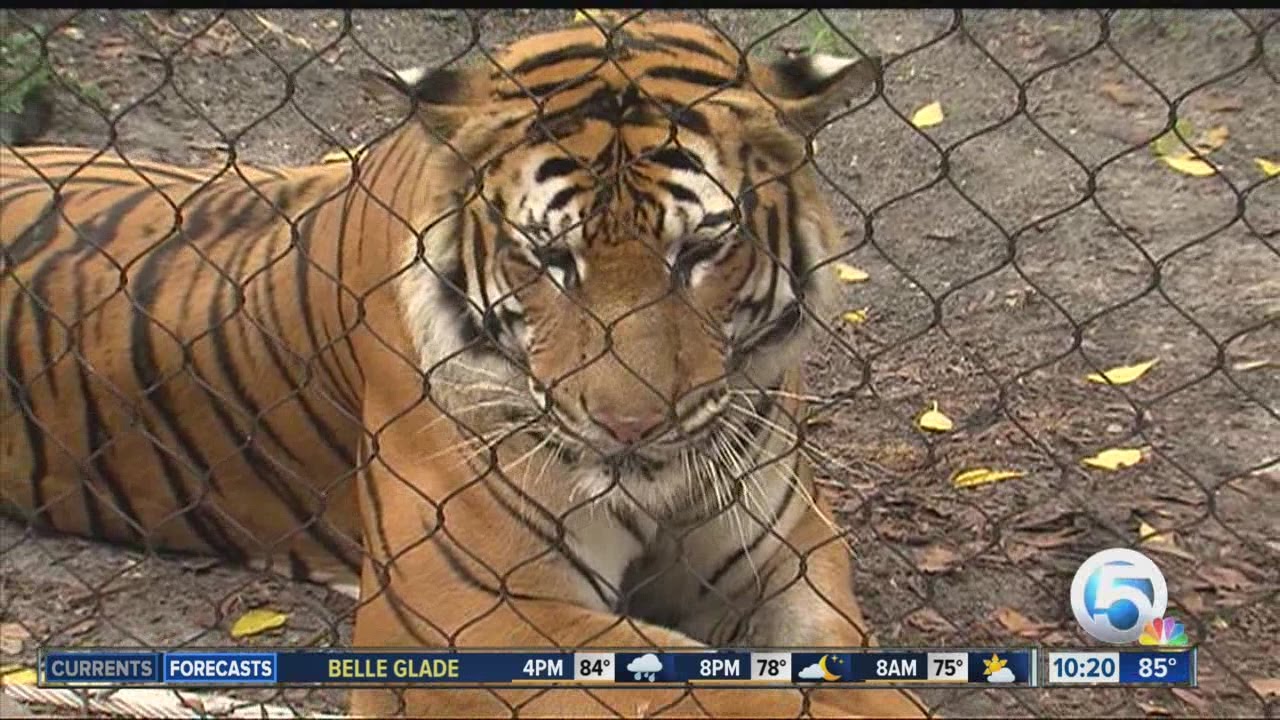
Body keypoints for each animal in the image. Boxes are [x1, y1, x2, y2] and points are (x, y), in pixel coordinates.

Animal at [1, 17, 927, 719]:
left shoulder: (790, 547)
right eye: (549, 258)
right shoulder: (462, 609)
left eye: (701, 249)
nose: (630, 427)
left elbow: (832, 658)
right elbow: (710, 694)